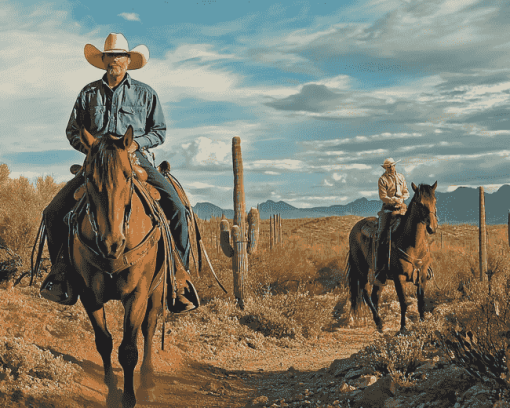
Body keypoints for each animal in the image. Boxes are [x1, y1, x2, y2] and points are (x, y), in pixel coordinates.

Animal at [71, 126, 165, 406]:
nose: (111, 243)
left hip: (157, 290)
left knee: (149, 327)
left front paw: (129, 397)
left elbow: (129, 350)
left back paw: (148, 382)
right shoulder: (88, 295)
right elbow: (104, 342)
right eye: (88, 177)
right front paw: (112, 393)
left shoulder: (137, 294)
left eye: (127, 176)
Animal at [346, 182, 438, 334]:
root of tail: (355, 228)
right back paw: (379, 321)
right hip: (361, 269)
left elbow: (421, 301)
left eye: (434, 201)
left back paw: (379, 324)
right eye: (420, 203)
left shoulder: (422, 275)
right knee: (365, 292)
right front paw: (403, 328)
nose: (432, 227)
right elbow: (404, 302)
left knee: (375, 295)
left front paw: (423, 323)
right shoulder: (399, 277)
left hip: (380, 276)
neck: (413, 244)